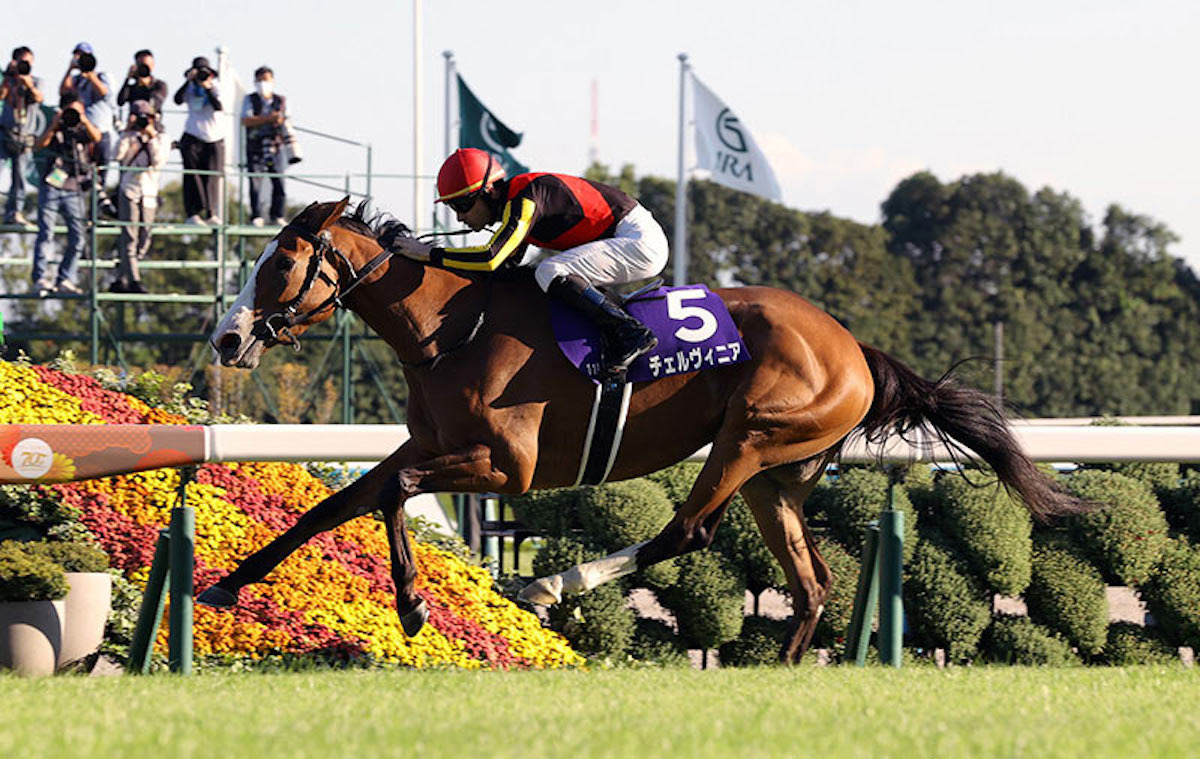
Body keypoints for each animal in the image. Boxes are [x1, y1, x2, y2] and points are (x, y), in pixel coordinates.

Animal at [204, 198, 1089, 662]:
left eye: (279, 265)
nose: (226, 338)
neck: (452, 327)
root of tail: (855, 348)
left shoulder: (505, 465)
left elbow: (399, 492)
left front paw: (415, 604)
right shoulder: (425, 440)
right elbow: (336, 503)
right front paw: (222, 584)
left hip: (750, 437)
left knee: (688, 531)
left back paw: (544, 584)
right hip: (776, 477)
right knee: (811, 582)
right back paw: (786, 669)